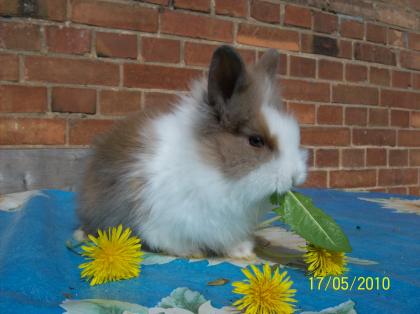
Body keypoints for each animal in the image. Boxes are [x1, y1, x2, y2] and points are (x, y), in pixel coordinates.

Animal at [77, 46, 306, 258]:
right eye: (256, 141)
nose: (295, 177)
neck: (213, 170)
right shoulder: (163, 221)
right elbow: (169, 240)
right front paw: (193, 252)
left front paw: (242, 250)